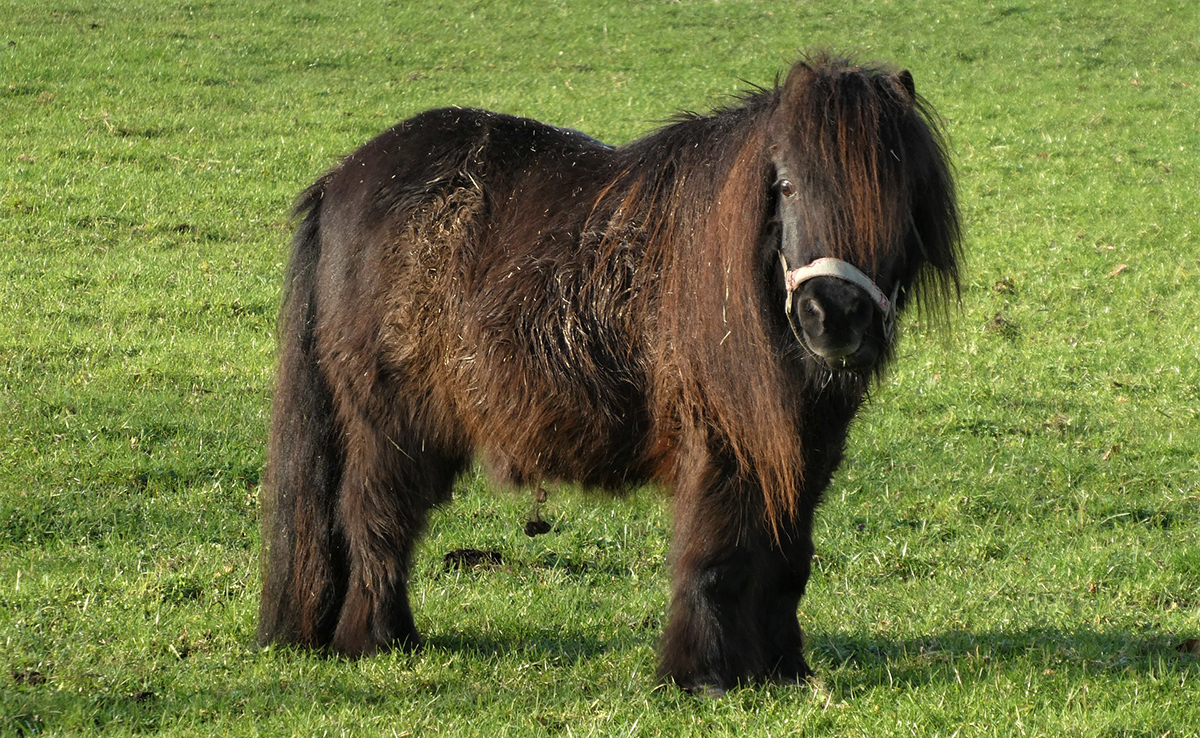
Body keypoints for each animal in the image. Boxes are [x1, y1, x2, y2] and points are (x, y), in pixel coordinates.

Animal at [257, 53, 961, 694]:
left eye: (897, 195)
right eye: (786, 186)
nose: (832, 318)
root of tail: (342, 179)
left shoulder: (804, 450)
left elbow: (786, 562)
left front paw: (783, 671)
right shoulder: (720, 446)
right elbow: (716, 557)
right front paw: (701, 676)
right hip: (390, 423)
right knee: (374, 520)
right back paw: (379, 641)